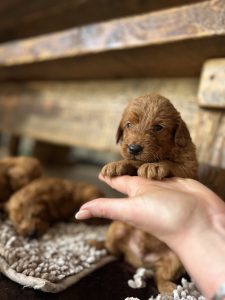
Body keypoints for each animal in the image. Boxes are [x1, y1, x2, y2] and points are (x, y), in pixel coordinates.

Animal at [100, 94, 197, 296]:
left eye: (158, 127)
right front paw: (117, 164)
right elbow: (130, 163)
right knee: (115, 252)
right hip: (116, 229)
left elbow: (171, 163)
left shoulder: (189, 167)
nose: (134, 148)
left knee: (161, 276)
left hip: (177, 258)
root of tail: (144, 261)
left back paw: (168, 290)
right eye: (129, 124)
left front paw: (155, 166)